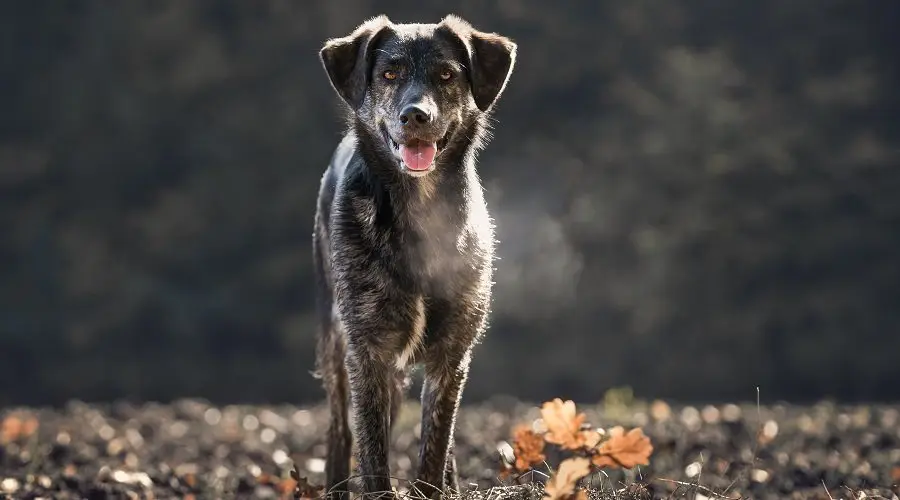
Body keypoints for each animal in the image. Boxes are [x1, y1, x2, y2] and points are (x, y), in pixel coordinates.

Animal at [312, 13, 516, 498]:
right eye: (390, 74)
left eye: (445, 74)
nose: (416, 115)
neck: (420, 211)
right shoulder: (367, 351)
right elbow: (372, 452)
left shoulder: (452, 356)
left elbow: (435, 446)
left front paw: (437, 487)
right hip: (334, 343)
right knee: (341, 430)